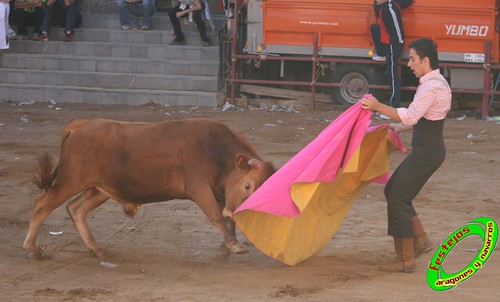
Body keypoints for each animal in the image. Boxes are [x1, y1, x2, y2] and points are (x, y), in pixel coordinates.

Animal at [22, 117, 274, 258]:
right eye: (247, 185)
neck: (215, 151)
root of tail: (81, 125)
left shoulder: (220, 192)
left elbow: (227, 219)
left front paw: (231, 241)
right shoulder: (200, 188)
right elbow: (217, 216)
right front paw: (233, 244)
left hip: (99, 188)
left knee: (76, 209)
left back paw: (96, 248)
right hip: (70, 180)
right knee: (42, 204)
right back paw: (32, 247)